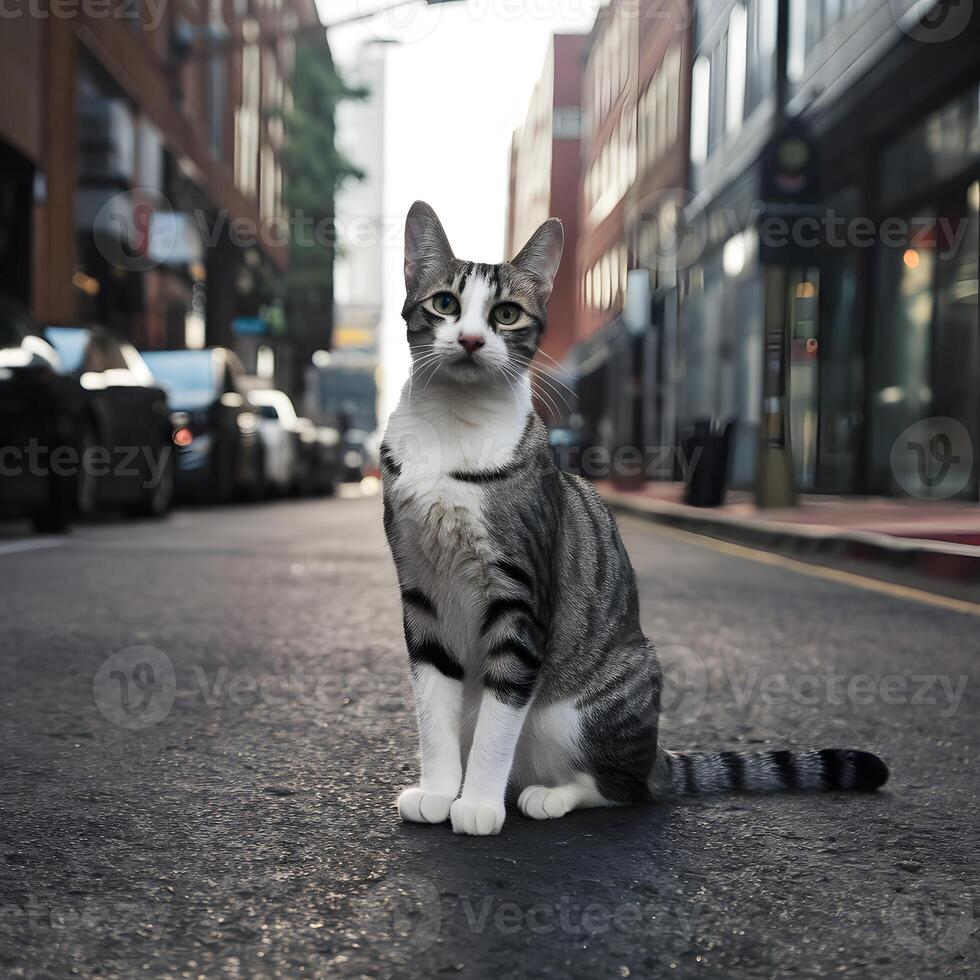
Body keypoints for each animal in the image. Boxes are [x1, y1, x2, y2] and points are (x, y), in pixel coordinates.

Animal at [378, 203, 888, 840]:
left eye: (505, 314)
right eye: (445, 303)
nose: (471, 340)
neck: (452, 431)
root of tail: (660, 757)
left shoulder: (520, 596)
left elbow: (501, 715)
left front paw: (477, 804)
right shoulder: (420, 591)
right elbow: (432, 707)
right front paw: (441, 790)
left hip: (589, 708)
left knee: (625, 788)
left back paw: (548, 795)